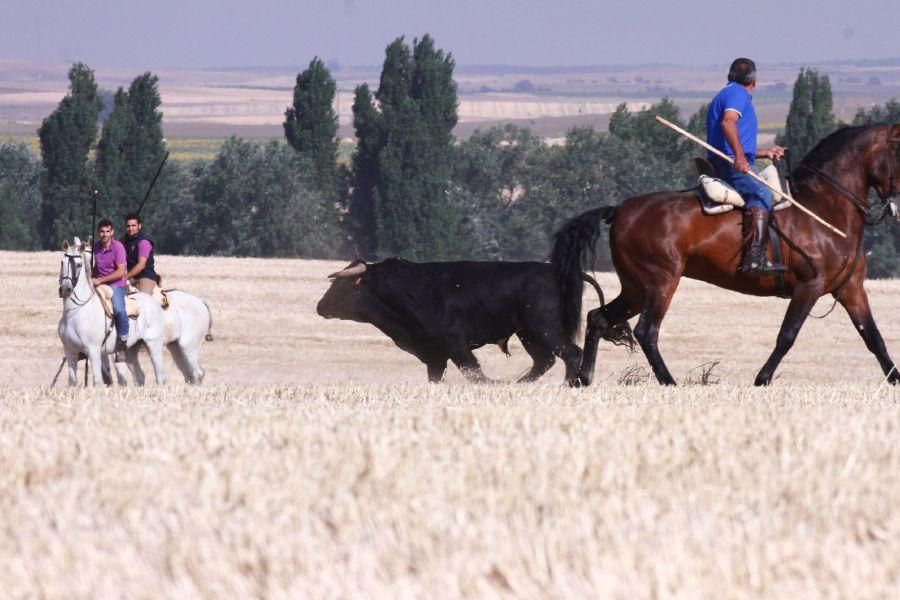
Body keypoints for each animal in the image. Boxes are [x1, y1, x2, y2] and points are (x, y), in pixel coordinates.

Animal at [59, 237, 168, 386]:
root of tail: (153, 301)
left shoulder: (93, 351)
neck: (75, 312)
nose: (65, 289)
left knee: (160, 376)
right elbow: (72, 381)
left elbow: (97, 381)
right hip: (131, 349)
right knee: (139, 376)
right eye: (62, 262)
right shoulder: (70, 351)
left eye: (79, 264)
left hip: (154, 345)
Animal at [316, 258, 632, 384]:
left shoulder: (455, 345)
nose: (319, 307)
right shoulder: (435, 355)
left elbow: (473, 372)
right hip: (528, 334)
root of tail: (566, 272)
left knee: (570, 354)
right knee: (543, 361)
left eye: (342, 287)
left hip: (546, 329)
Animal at [552, 122, 900, 386]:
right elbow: (787, 335)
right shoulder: (809, 286)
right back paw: (669, 382)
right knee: (646, 331)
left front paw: (895, 379)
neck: (825, 207)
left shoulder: (850, 289)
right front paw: (762, 379)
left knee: (598, 318)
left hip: (636, 288)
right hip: (661, 282)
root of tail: (621, 209)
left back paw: (583, 378)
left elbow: (873, 337)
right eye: (898, 151)